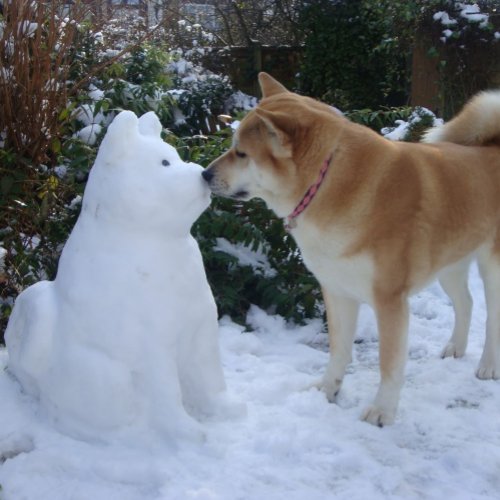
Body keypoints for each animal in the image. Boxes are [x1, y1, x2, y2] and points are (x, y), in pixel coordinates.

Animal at [201, 72, 500, 426]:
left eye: (241, 153)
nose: (204, 174)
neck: (325, 181)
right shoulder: (337, 290)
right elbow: (339, 350)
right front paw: (327, 390)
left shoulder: (389, 300)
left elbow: (389, 365)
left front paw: (382, 411)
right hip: (449, 264)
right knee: (466, 303)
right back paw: (456, 347)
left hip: (492, 268)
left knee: (492, 318)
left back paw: (488, 366)